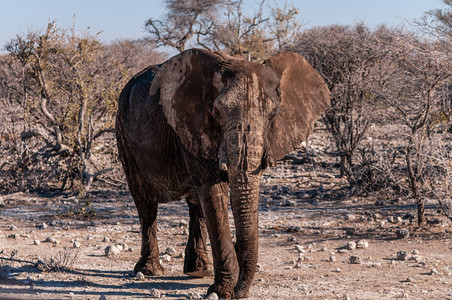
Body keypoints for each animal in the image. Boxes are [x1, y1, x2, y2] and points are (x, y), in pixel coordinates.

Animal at [115, 48, 330, 298]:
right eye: (217, 112)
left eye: (273, 115)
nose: (240, 292)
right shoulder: (192, 125)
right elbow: (213, 191)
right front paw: (223, 292)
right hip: (123, 134)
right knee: (146, 203)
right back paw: (150, 271)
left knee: (195, 205)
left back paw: (199, 271)